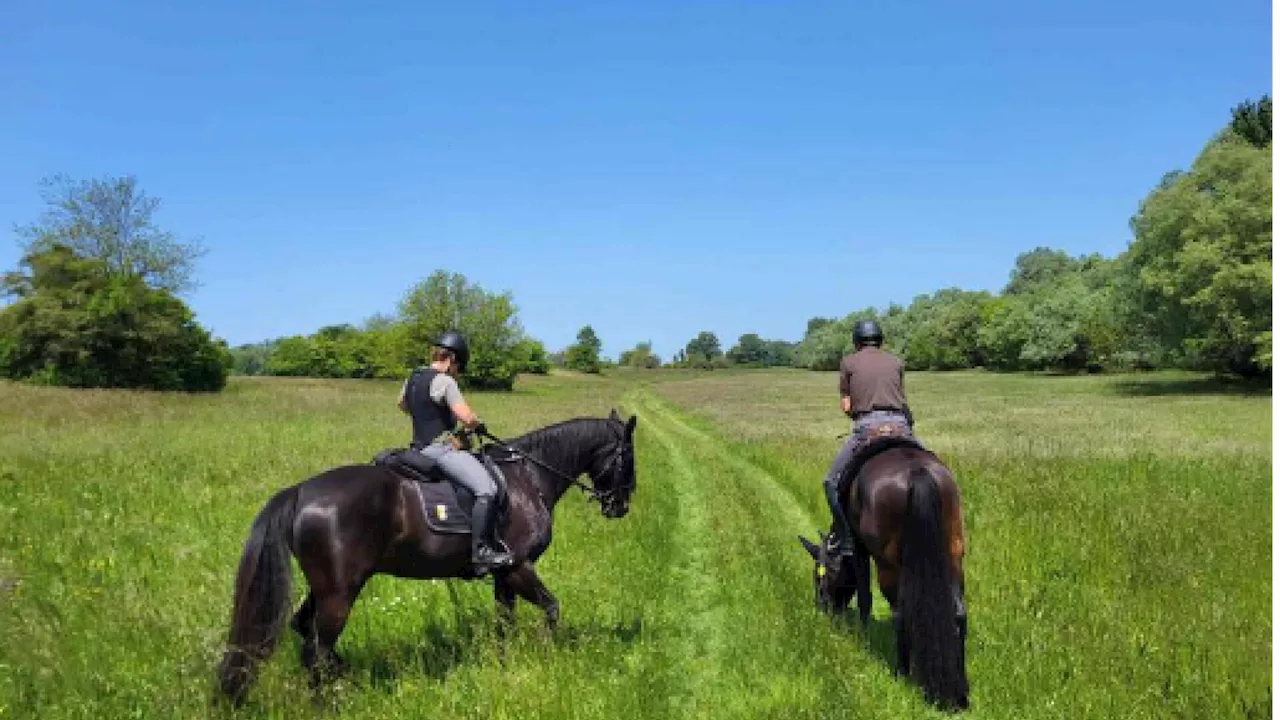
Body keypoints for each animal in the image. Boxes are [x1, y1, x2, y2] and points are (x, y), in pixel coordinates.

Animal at [221, 409, 645, 702]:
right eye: (628, 458)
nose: (620, 506)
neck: (527, 479)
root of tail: (301, 491)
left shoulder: (504, 575)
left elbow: (503, 624)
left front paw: (504, 667)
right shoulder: (519, 567)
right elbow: (552, 608)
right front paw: (547, 653)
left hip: (327, 588)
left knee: (304, 631)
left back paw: (346, 677)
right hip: (339, 594)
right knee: (318, 650)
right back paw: (331, 700)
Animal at [798, 440, 967, 707]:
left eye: (819, 575)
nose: (824, 608)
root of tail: (917, 472)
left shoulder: (858, 549)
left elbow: (865, 597)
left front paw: (862, 636)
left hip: (888, 565)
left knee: (900, 614)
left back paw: (902, 673)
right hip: (953, 554)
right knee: (959, 613)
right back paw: (961, 690)